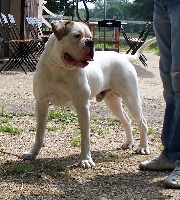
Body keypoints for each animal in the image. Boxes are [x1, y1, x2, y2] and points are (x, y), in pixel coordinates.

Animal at [21, 19, 156, 167]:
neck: (60, 67)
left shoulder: (82, 106)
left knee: (142, 122)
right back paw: (129, 143)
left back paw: (143, 147)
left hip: (131, 99)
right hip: (113, 102)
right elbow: (39, 133)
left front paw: (85, 159)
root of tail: (123, 57)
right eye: (77, 36)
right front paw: (32, 153)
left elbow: (85, 136)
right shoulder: (41, 103)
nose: (90, 42)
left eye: (90, 37)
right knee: (126, 120)